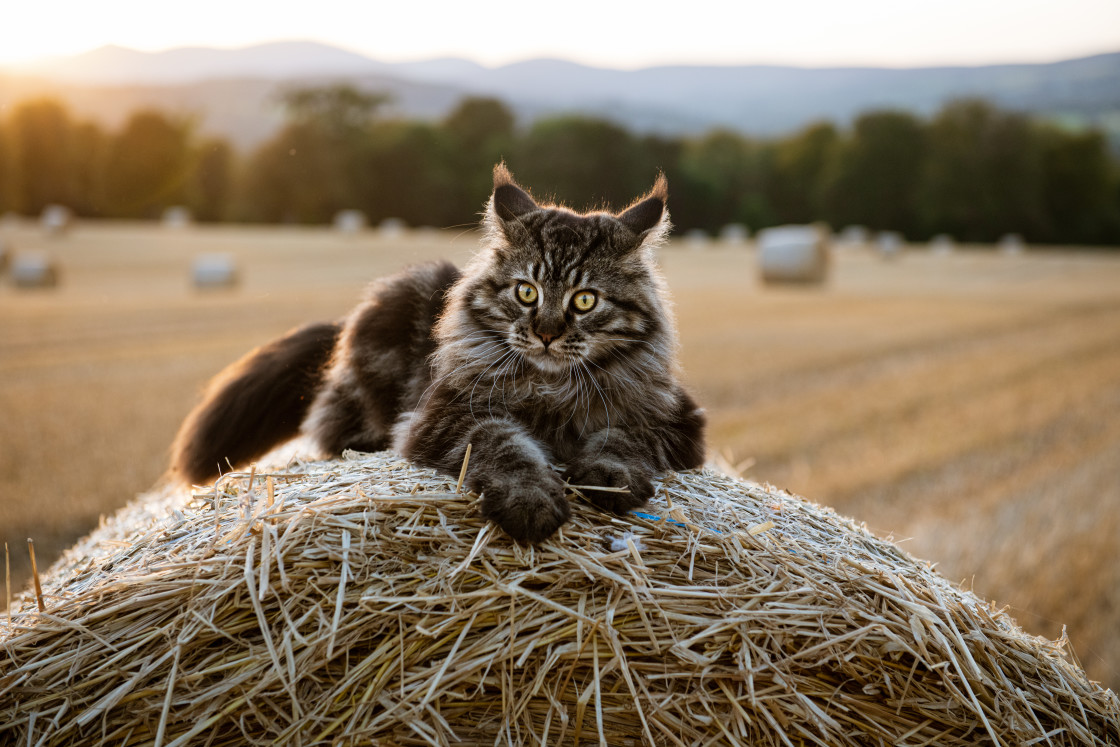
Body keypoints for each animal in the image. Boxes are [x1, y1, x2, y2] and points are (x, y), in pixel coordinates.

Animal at [170, 166, 703, 544]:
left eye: (585, 300)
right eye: (526, 292)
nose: (547, 333)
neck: (551, 387)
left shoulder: (672, 420)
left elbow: (622, 438)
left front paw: (609, 478)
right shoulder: (449, 414)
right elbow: (506, 446)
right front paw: (530, 501)